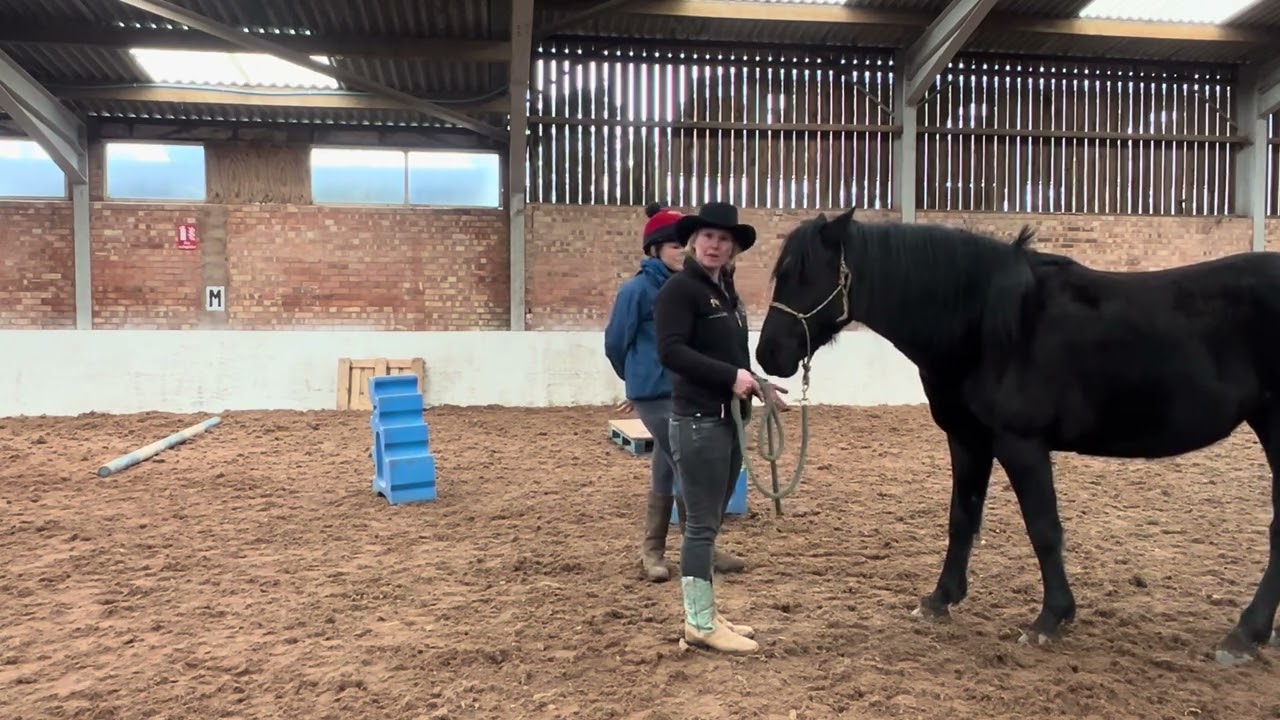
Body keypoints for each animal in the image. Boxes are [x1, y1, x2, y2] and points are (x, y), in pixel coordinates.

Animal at [754, 207, 1280, 665]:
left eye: (804, 273)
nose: (768, 354)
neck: (985, 322)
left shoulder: (1021, 444)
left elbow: (1043, 529)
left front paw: (1050, 619)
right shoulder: (967, 440)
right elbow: (962, 519)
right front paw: (940, 600)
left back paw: (1244, 635)